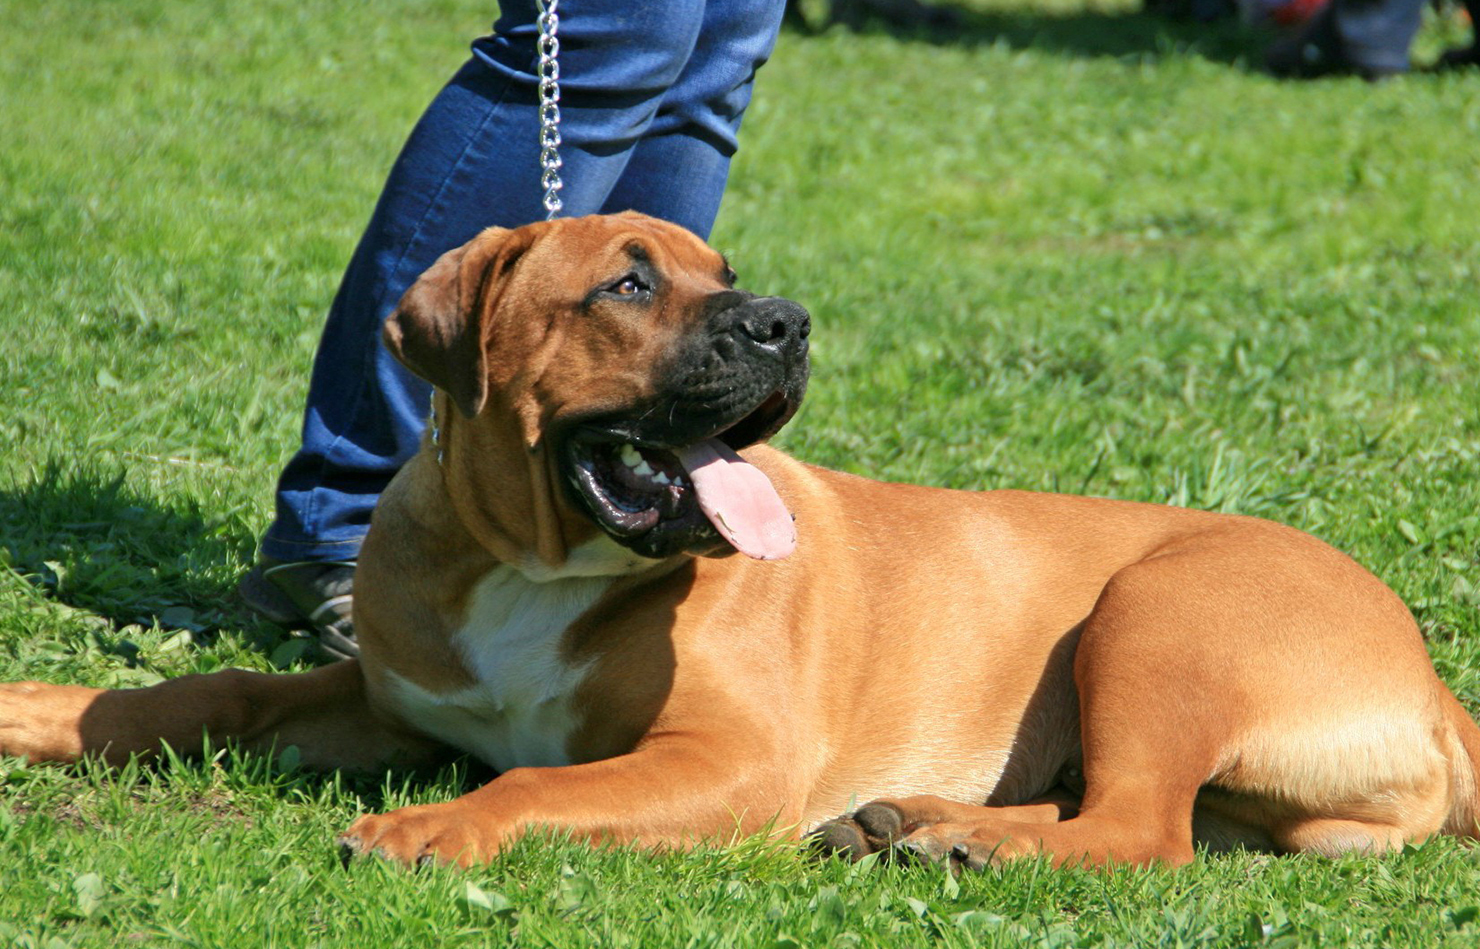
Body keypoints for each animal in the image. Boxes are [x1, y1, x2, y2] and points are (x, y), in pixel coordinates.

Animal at [2, 212, 1477, 870]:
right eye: (627, 283)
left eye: (728, 276)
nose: (787, 322)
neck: (536, 563)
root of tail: (1432, 683)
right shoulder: (385, 693)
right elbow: (215, 689)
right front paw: (47, 710)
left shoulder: (727, 758)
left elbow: (533, 781)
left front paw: (433, 827)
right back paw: (912, 818)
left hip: (1160, 618)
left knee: (1138, 827)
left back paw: (959, 840)